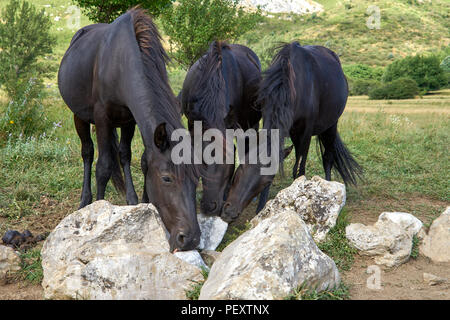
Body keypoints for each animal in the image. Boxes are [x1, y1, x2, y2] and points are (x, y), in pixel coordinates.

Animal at [57, 8, 200, 252]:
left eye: (196, 178)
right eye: (167, 178)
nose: (190, 239)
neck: (121, 61)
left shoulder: (129, 120)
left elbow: (131, 157)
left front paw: (137, 202)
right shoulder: (102, 118)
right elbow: (103, 167)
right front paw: (98, 209)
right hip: (80, 117)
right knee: (88, 152)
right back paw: (85, 200)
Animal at [221, 42, 362, 222]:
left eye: (266, 181)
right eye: (240, 169)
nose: (229, 212)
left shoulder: (306, 133)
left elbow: (299, 170)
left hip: (331, 125)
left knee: (328, 158)